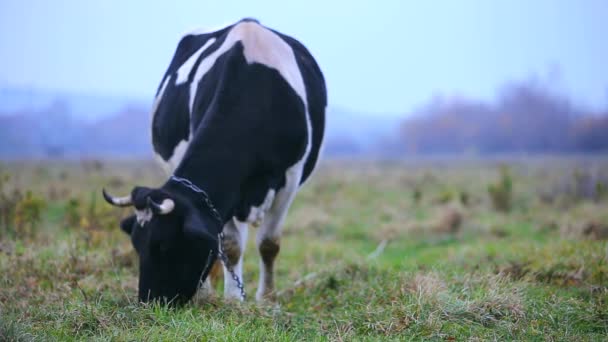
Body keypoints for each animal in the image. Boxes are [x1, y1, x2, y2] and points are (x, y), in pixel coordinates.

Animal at [102, 17, 326, 304]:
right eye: (137, 245)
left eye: (165, 246)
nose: (150, 302)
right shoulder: (224, 197)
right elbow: (229, 246)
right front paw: (232, 299)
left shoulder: (290, 179)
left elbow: (269, 244)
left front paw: (267, 299)